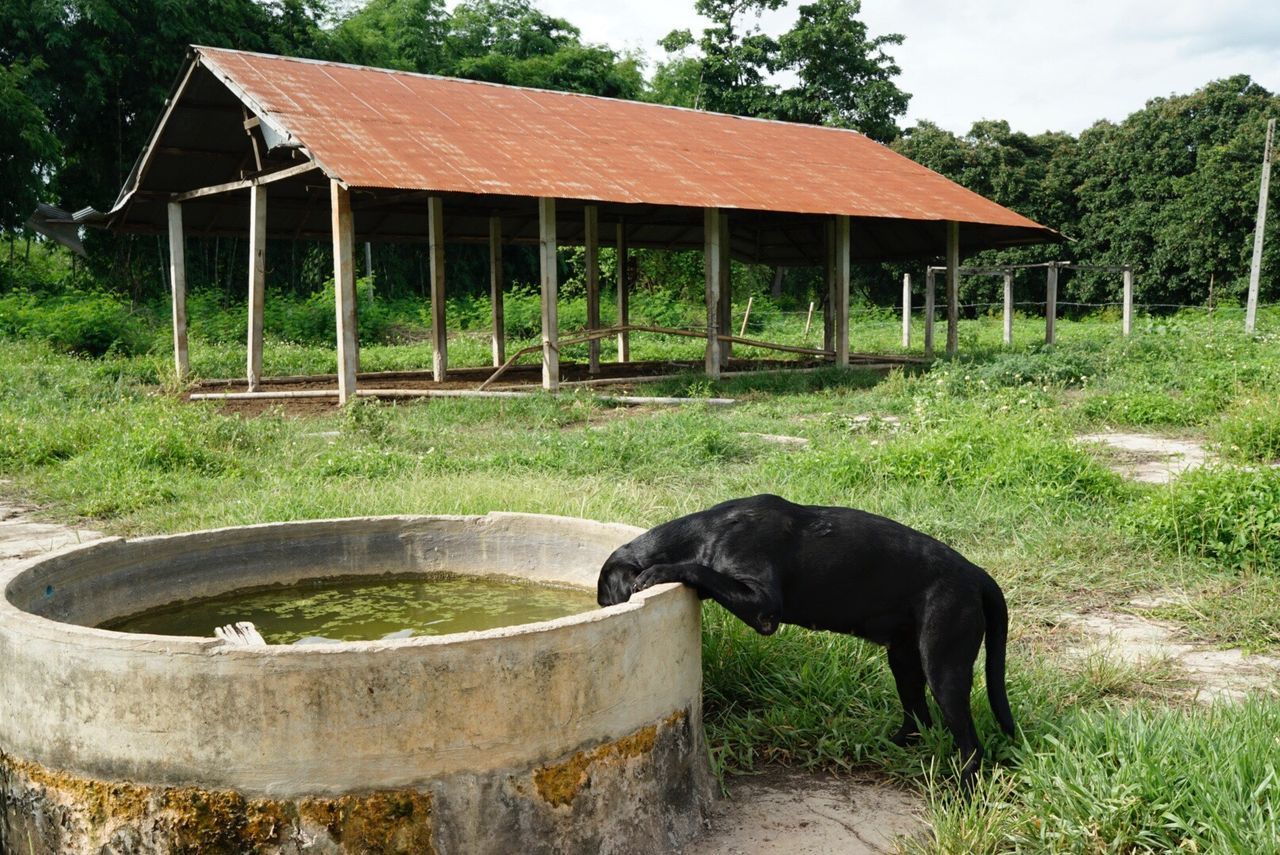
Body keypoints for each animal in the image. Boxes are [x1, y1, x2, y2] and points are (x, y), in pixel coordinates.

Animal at [593, 494, 1013, 783]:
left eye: (603, 597)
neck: (703, 534)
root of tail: (975, 574)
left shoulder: (763, 607)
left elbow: (699, 571)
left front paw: (661, 571)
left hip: (944, 666)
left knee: (970, 746)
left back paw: (960, 790)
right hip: (905, 662)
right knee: (918, 719)